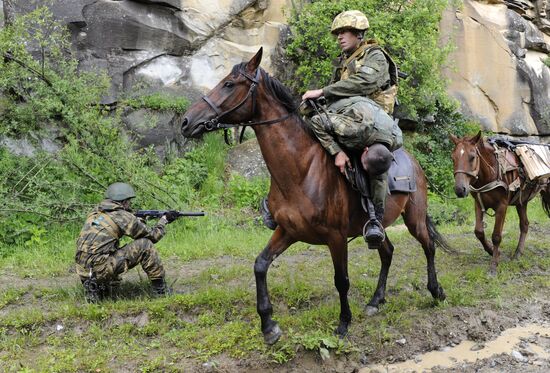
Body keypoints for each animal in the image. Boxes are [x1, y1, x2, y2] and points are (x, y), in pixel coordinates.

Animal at [183, 48, 450, 342]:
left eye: (229, 84)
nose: (186, 121)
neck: (301, 170)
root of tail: (412, 160)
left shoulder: (336, 237)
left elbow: (341, 280)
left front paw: (343, 323)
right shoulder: (287, 231)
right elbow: (260, 265)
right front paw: (268, 325)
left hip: (414, 217)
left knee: (428, 246)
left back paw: (436, 291)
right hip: (377, 227)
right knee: (387, 251)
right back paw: (375, 300)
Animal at [452, 131, 550, 274]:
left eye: (472, 157)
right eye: (453, 158)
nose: (460, 190)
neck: (491, 171)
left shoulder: (502, 206)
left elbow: (496, 236)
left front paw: (493, 265)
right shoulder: (478, 204)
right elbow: (479, 232)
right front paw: (493, 252)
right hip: (521, 201)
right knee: (524, 224)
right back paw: (517, 253)